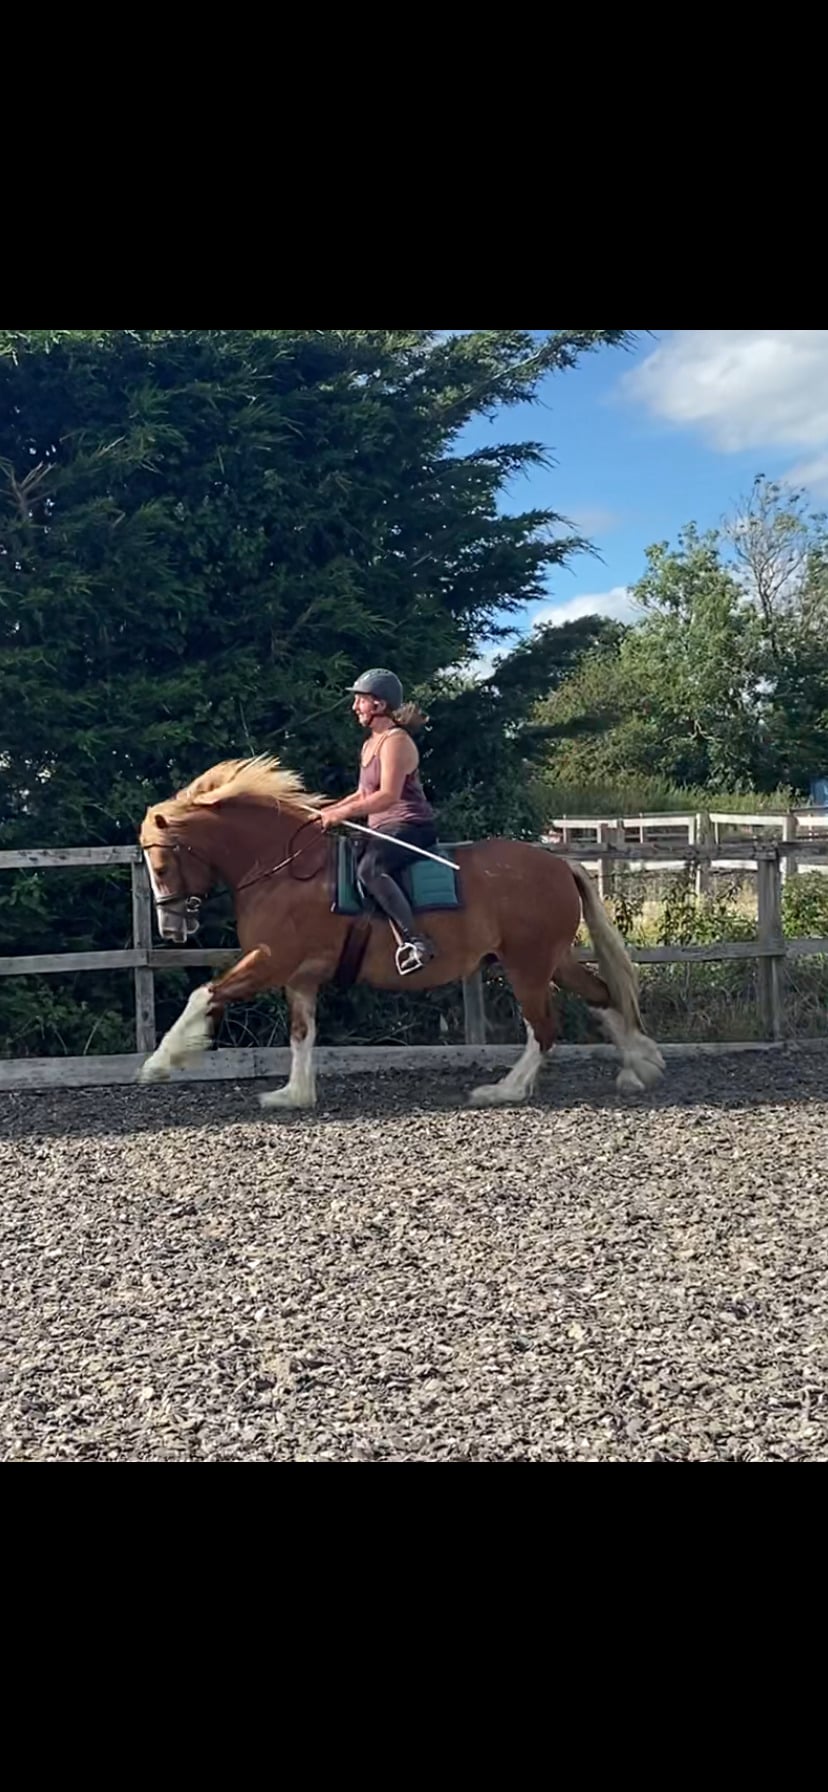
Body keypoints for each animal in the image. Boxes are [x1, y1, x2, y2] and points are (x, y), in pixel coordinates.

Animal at [137, 755, 665, 1108]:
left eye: (161, 865)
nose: (172, 928)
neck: (283, 869)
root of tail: (559, 864)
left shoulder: (271, 959)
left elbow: (205, 994)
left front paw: (159, 1063)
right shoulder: (299, 976)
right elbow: (302, 1033)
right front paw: (294, 1094)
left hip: (527, 965)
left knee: (544, 1026)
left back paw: (505, 1090)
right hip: (551, 959)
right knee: (601, 996)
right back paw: (639, 1067)